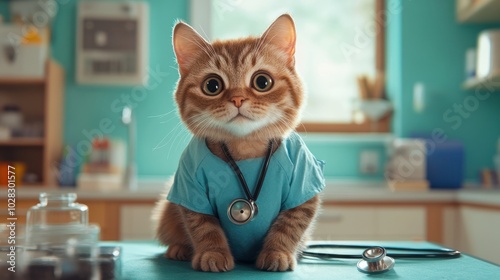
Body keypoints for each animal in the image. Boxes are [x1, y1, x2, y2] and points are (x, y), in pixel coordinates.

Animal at [152, 14, 324, 272]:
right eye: (212, 86)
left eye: (262, 82)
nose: (237, 98)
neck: (245, 149)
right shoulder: (190, 189)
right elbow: (204, 227)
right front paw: (213, 253)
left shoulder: (303, 185)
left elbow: (289, 226)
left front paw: (278, 252)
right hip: (167, 214)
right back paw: (179, 249)